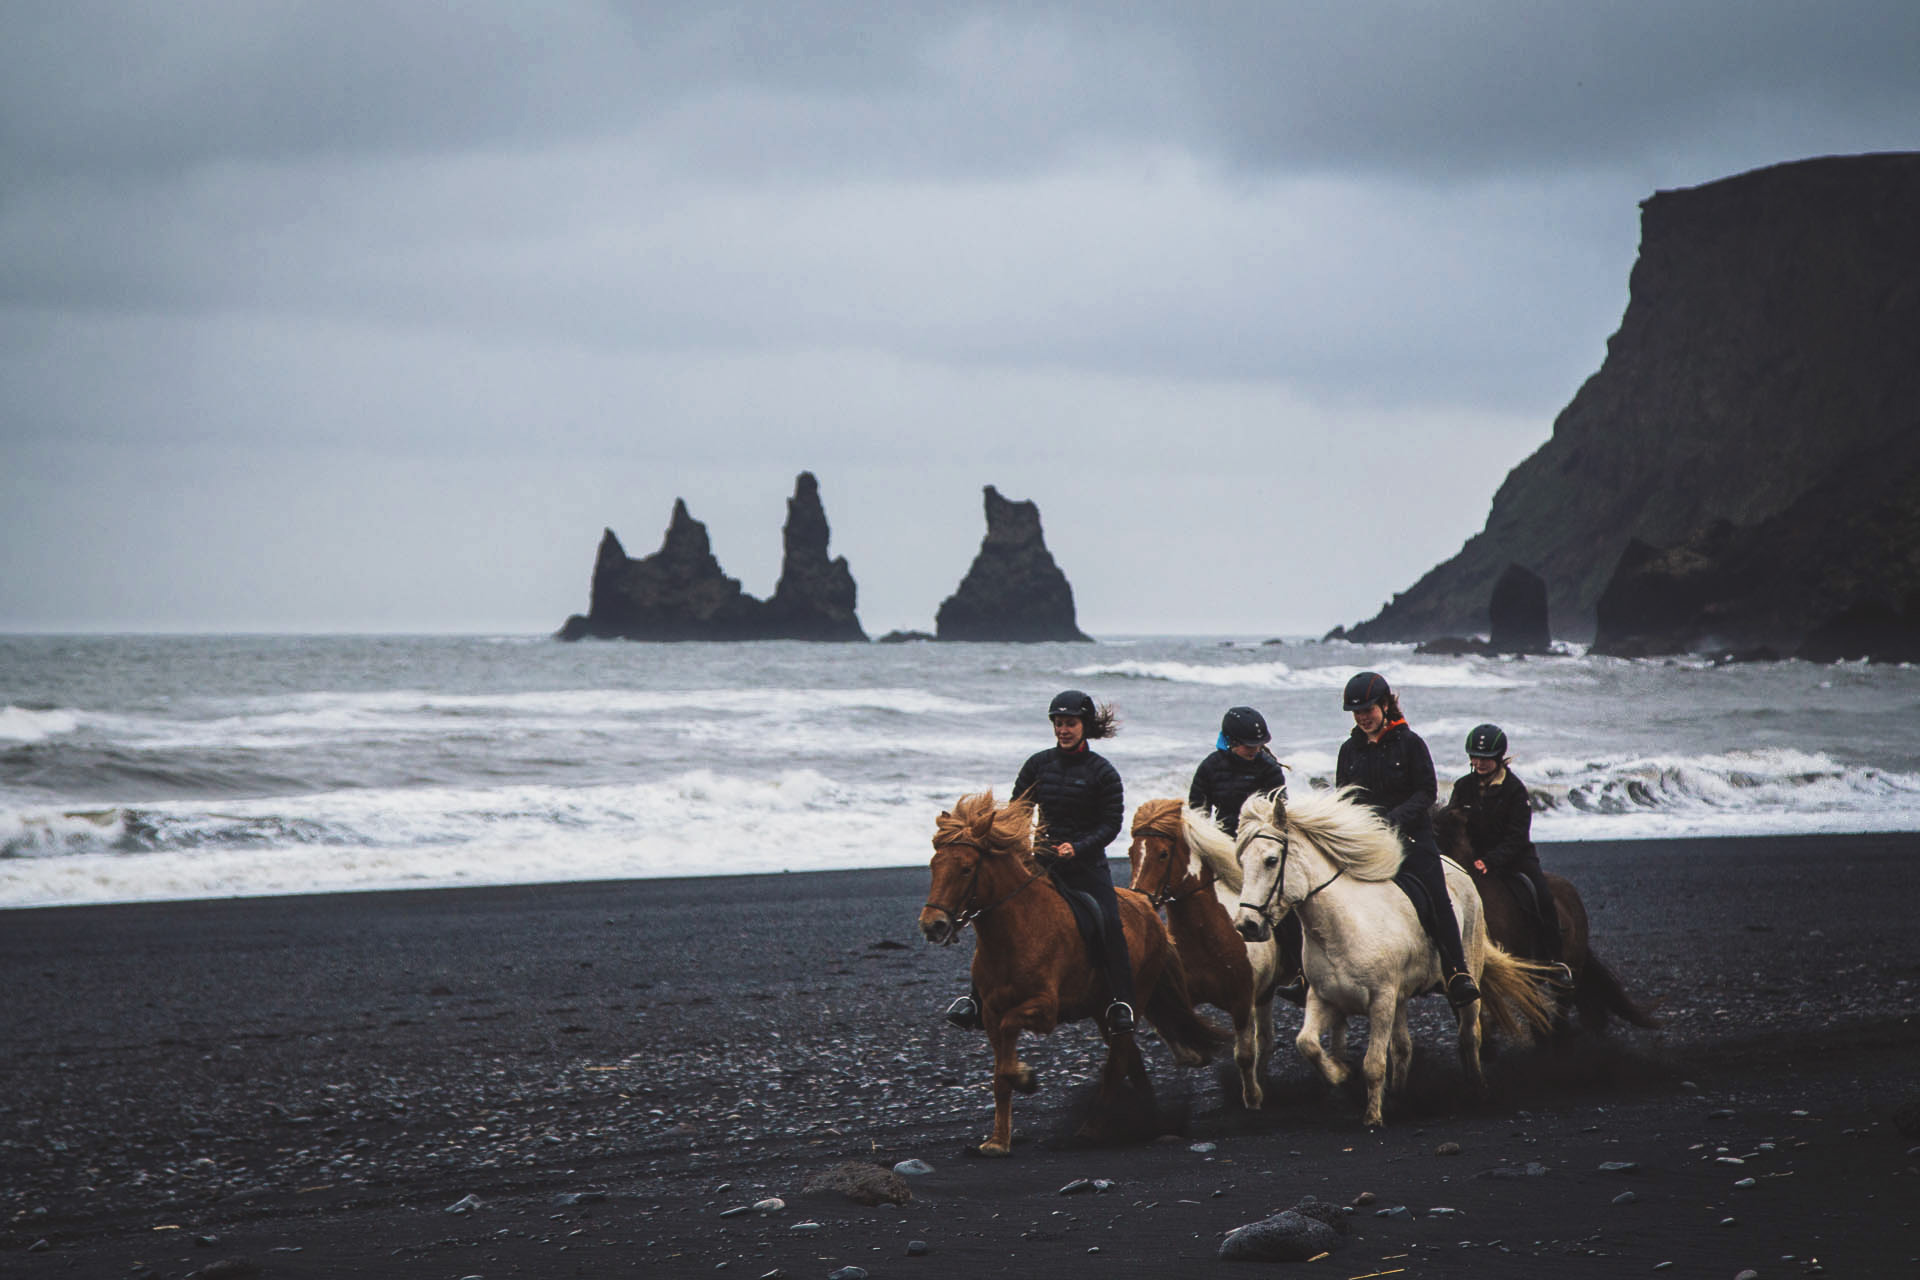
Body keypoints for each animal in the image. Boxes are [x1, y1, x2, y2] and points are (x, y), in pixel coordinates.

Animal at [913, 794, 1213, 1159]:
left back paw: (1092, 1130)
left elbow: (1009, 1049)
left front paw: (1025, 1078)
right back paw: (1148, 1121)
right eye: (934, 865)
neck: (1015, 931)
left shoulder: (1044, 1009)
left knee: (1118, 1061)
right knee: (1131, 1059)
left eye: (966, 868)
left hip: (1134, 996)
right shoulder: (990, 1013)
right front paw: (997, 1141)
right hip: (1101, 1010)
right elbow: (999, 1076)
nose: (933, 925)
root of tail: (1148, 908)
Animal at [1128, 802, 1282, 1113]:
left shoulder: (1242, 1002)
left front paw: (1252, 1098)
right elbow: (1168, 1025)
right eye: (1130, 852)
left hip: (1265, 993)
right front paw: (1195, 1056)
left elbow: (1244, 1053)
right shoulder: (1181, 993)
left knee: (1264, 1040)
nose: (1141, 901)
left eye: (1163, 853)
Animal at [1182, 786, 1559, 1128]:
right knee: (1404, 1047)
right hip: (1402, 998)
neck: (1340, 928)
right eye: (1241, 862)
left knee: (1470, 1035)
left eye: (1271, 860)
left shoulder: (1380, 1001)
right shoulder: (1324, 998)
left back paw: (1476, 1090)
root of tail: (1460, 869)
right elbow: (1307, 1044)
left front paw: (1372, 1116)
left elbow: (1374, 1063)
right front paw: (1340, 1075)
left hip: (1465, 979)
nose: (1247, 925)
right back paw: (1401, 1095)